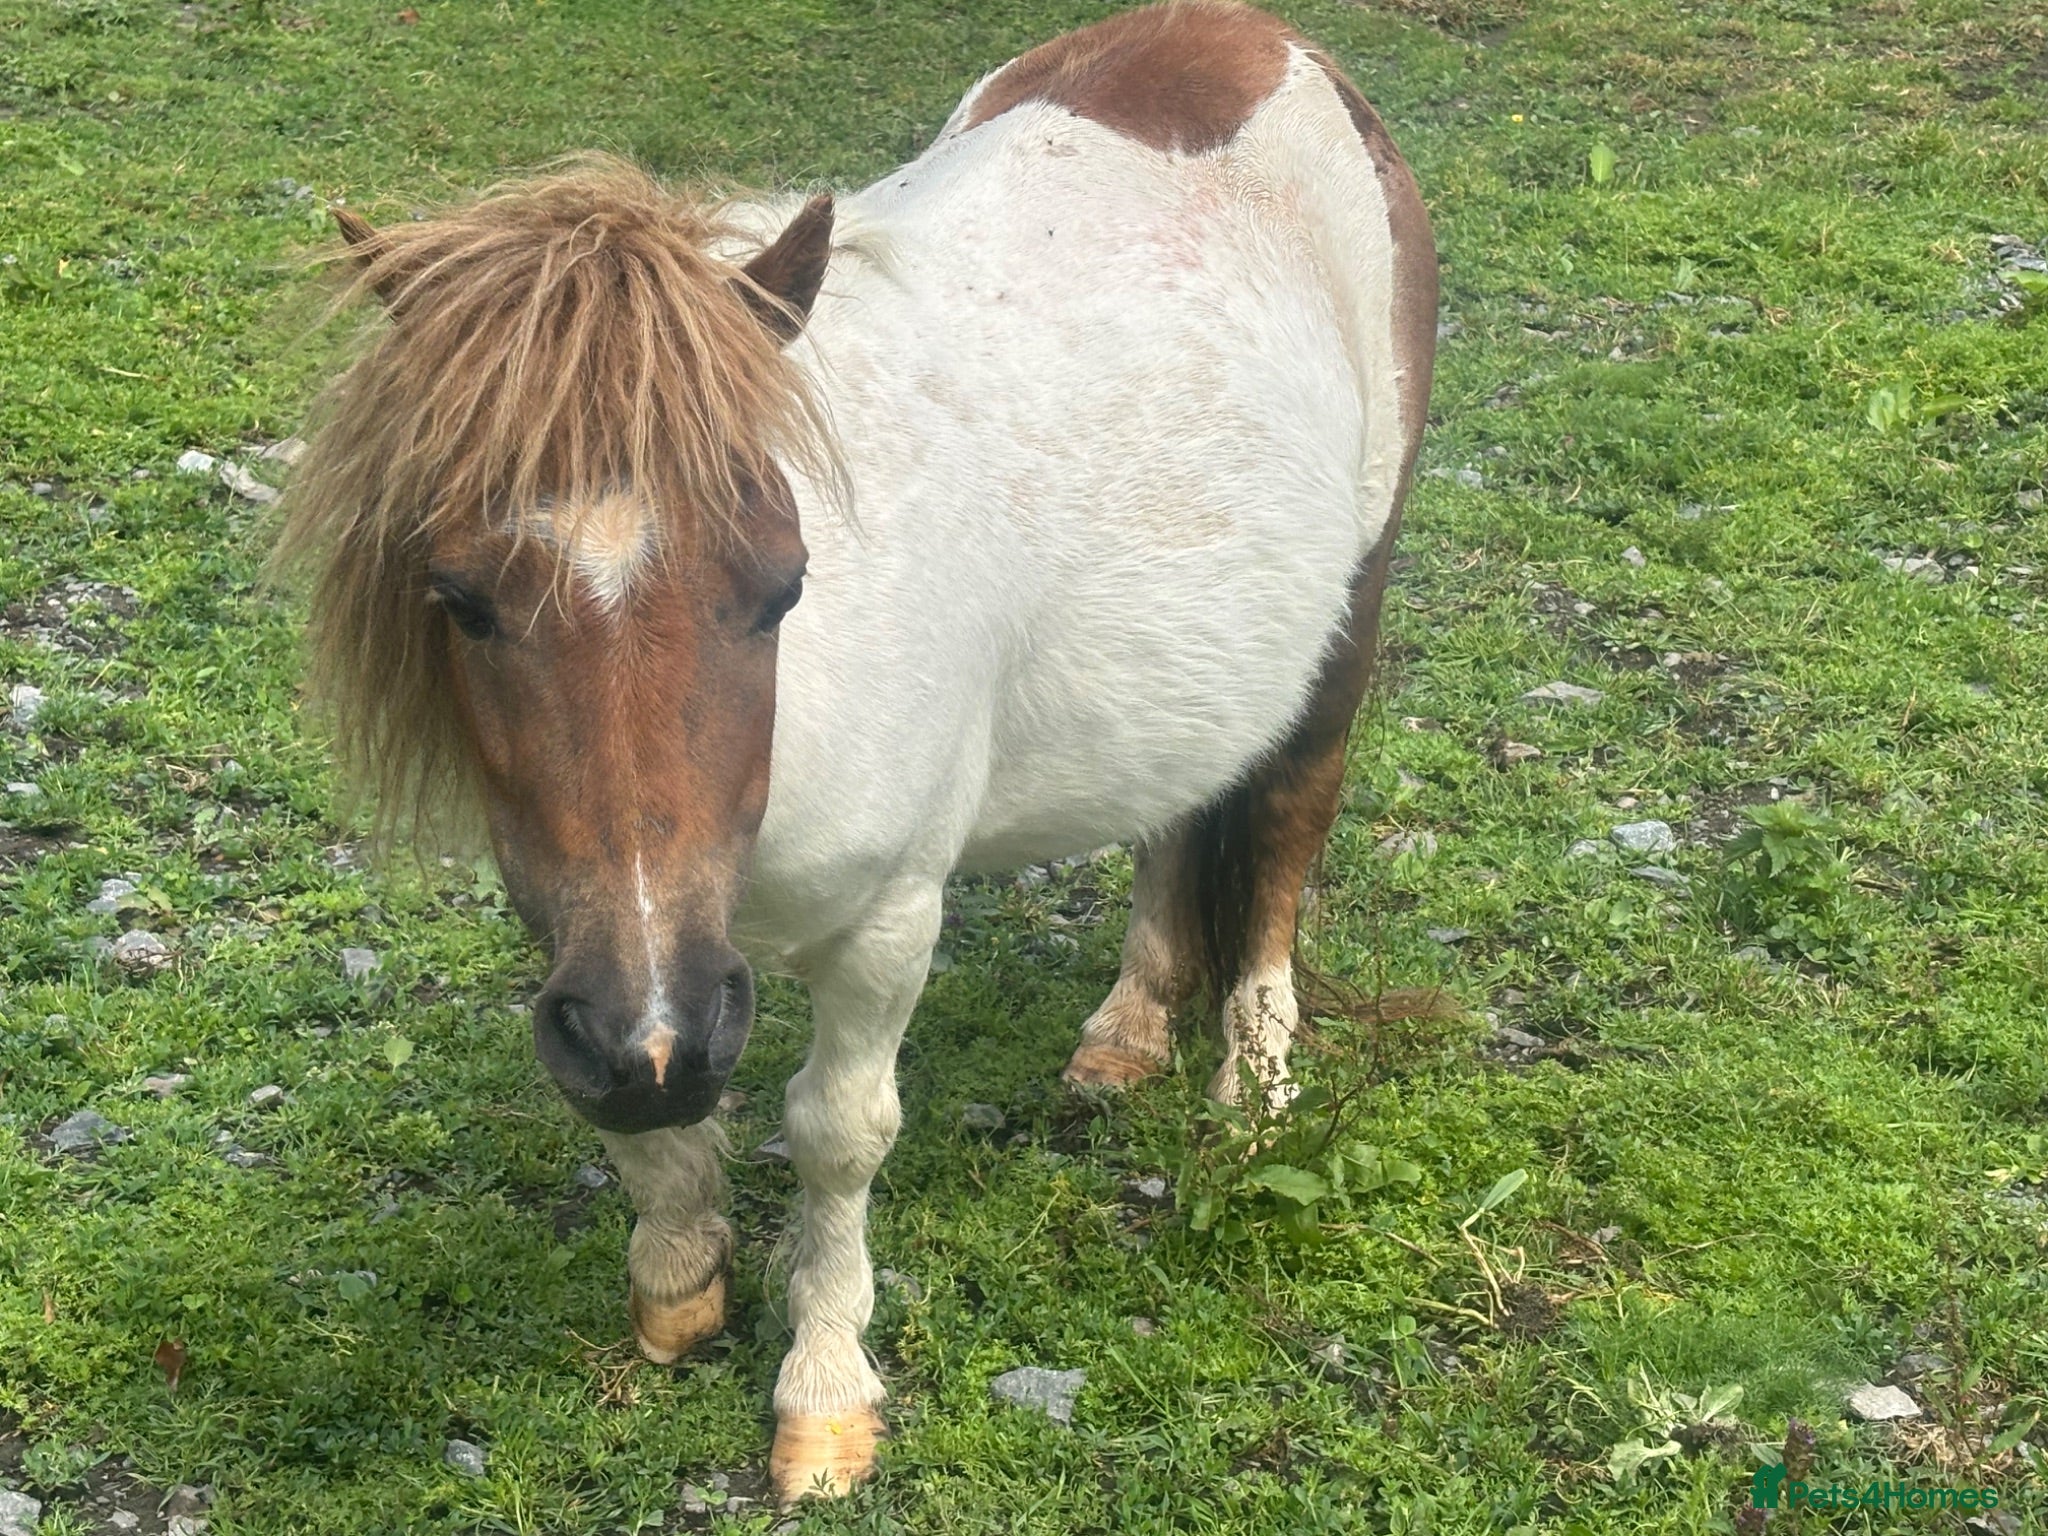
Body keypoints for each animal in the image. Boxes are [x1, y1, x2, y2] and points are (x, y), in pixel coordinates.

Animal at [273, 0, 1435, 1505]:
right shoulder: (591, 939)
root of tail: (1259, 42)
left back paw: (1253, 1090)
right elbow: (641, 1115)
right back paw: (1127, 1027)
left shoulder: (883, 919)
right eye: (459, 600)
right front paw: (678, 1275)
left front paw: (822, 1393)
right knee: (1180, 810)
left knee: (1285, 824)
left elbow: (836, 1132)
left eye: (781, 586)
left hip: (1348, 609)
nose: (662, 1029)